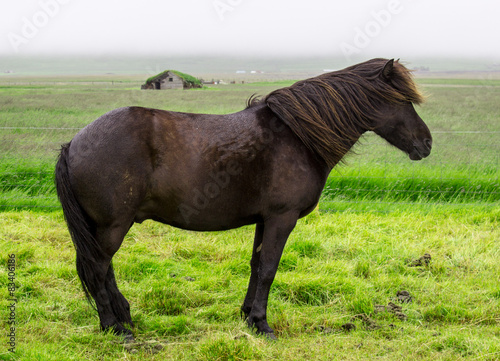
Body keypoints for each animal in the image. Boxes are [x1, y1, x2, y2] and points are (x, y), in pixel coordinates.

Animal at [53, 58, 430, 338]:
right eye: (402, 100)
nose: (426, 144)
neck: (297, 137)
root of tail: (74, 143)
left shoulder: (265, 220)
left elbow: (256, 265)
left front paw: (247, 315)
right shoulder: (281, 218)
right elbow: (269, 269)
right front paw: (262, 324)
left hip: (106, 227)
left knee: (104, 268)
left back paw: (125, 318)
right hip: (113, 224)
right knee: (98, 268)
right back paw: (114, 328)